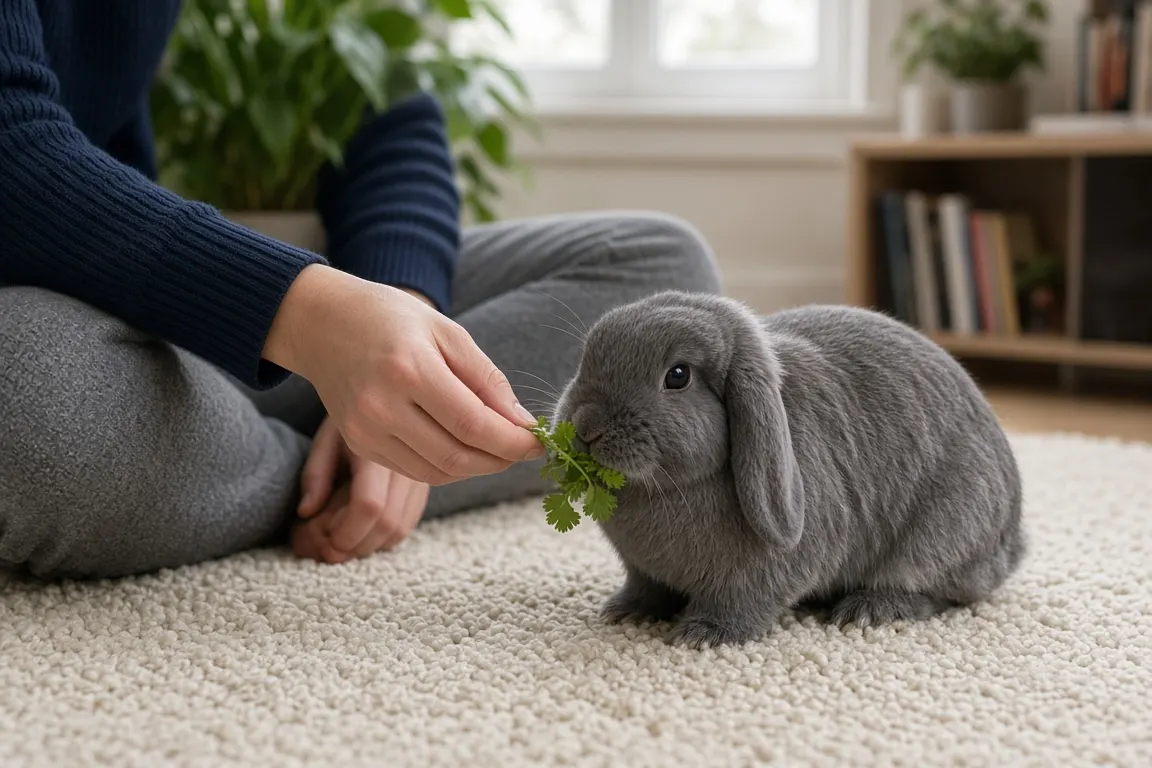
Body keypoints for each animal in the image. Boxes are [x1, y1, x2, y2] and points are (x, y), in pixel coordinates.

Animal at [551, 291, 1025, 649]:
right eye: (588, 354)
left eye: (678, 375)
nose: (586, 427)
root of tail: (1012, 539)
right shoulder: (642, 570)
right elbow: (645, 588)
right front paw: (624, 611)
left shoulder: (761, 577)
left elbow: (743, 604)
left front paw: (705, 635)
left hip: (941, 535)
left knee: (934, 590)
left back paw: (867, 611)